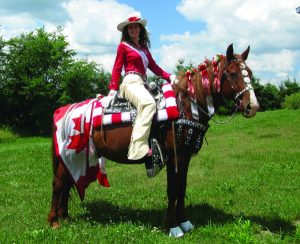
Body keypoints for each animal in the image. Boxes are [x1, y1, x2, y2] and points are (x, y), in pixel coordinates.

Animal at [48, 43, 258, 236]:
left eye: (249, 72)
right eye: (233, 74)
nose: (252, 106)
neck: (185, 105)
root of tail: (63, 110)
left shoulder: (185, 157)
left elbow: (182, 187)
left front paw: (184, 222)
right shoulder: (175, 156)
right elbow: (172, 189)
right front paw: (172, 226)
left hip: (73, 158)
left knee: (67, 182)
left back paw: (65, 216)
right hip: (68, 156)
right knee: (58, 184)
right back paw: (54, 221)